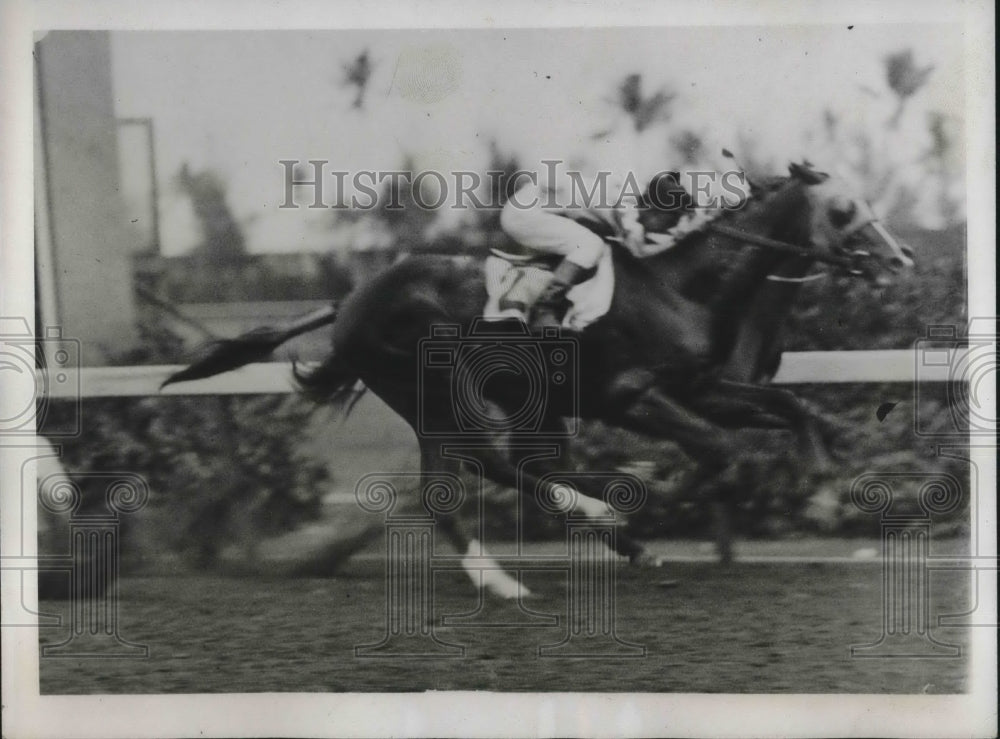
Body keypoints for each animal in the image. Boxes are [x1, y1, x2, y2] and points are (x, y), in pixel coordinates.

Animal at [164, 162, 916, 596]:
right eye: (845, 211)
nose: (901, 259)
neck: (680, 284)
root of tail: (351, 301)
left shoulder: (702, 387)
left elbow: (790, 408)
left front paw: (824, 492)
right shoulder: (634, 395)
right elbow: (719, 452)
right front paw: (640, 507)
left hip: (504, 402)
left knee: (495, 472)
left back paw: (566, 544)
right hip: (434, 395)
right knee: (473, 475)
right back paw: (519, 569)